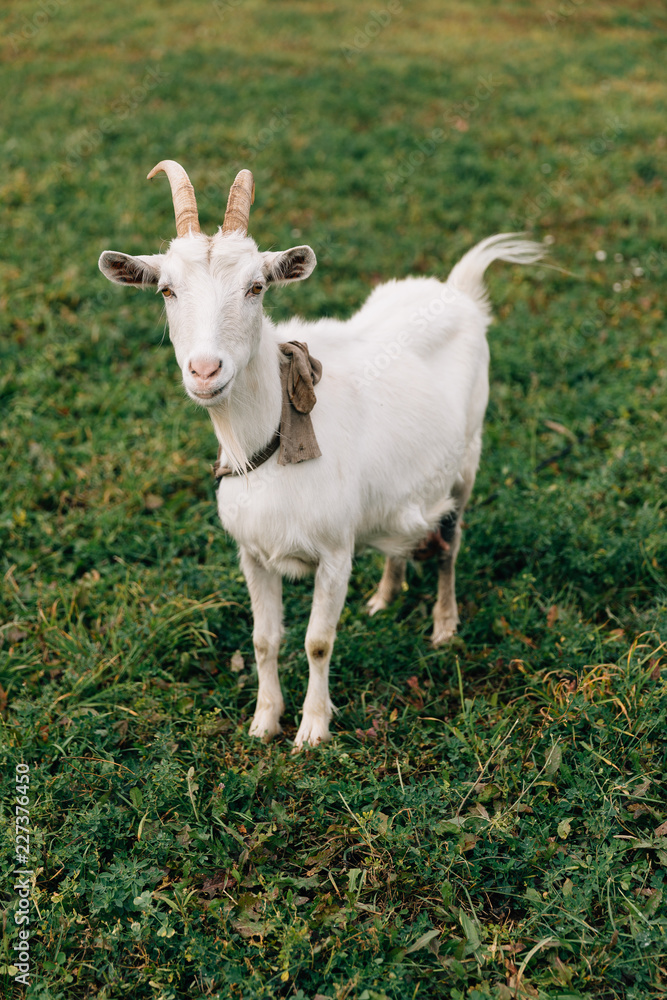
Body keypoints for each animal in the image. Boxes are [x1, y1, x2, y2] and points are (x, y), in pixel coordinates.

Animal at [99, 160, 543, 748]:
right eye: (167, 290)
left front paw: (312, 729)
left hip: (467, 460)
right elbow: (264, 639)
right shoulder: (252, 554)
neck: (268, 448)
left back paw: (445, 625)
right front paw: (264, 722)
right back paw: (384, 597)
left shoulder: (334, 554)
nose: (205, 370)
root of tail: (458, 293)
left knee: (449, 542)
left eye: (257, 287)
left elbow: (317, 641)